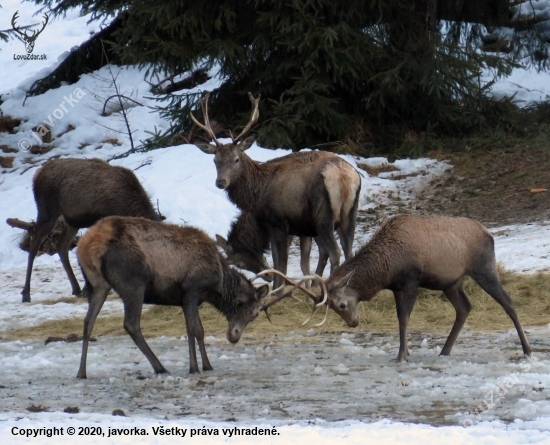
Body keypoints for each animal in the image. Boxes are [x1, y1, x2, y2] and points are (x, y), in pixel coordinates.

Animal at [22, 158, 164, 304]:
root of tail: (37, 175)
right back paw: (26, 294)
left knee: (61, 246)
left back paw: (77, 289)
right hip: (47, 212)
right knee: (34, 246)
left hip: (72, 222)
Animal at [76, 217, 272, 376]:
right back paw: (160, 367)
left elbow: (199, 330)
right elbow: (192, 329)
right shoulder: (191, 290)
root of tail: (90, 245)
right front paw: (194, 368)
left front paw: (207, 365)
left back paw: (81, 372)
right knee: (131, 324)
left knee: (88, 322)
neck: (217, 285)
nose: (234, 337)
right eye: (254, 312)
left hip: (98, 284)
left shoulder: (191, 298)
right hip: (133, 284)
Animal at [192, 92, 364, 292]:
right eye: (215, 160)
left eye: (236, 159)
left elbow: (280, 261)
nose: (220, 182)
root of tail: (344, 177)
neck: (257, 197)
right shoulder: (299, 227)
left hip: (324, 217)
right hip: (349, 214)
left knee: (335, 252)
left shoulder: (279, 221)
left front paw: (277, 290)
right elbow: (296, 262)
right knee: (348, 250)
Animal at [302, 213, 536, 362]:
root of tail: (490, 234)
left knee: (508, 303)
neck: (386, 269)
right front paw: (405, 352)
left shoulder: (411, 279)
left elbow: (405, 318)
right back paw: (445, 351)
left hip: (484, 268)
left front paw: (401, 356)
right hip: (450, 282)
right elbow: (400, 318)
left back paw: (527, 350)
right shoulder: (396, 287)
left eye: (341, 304)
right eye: (332, 307)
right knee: (464, 307)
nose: (353, 322)